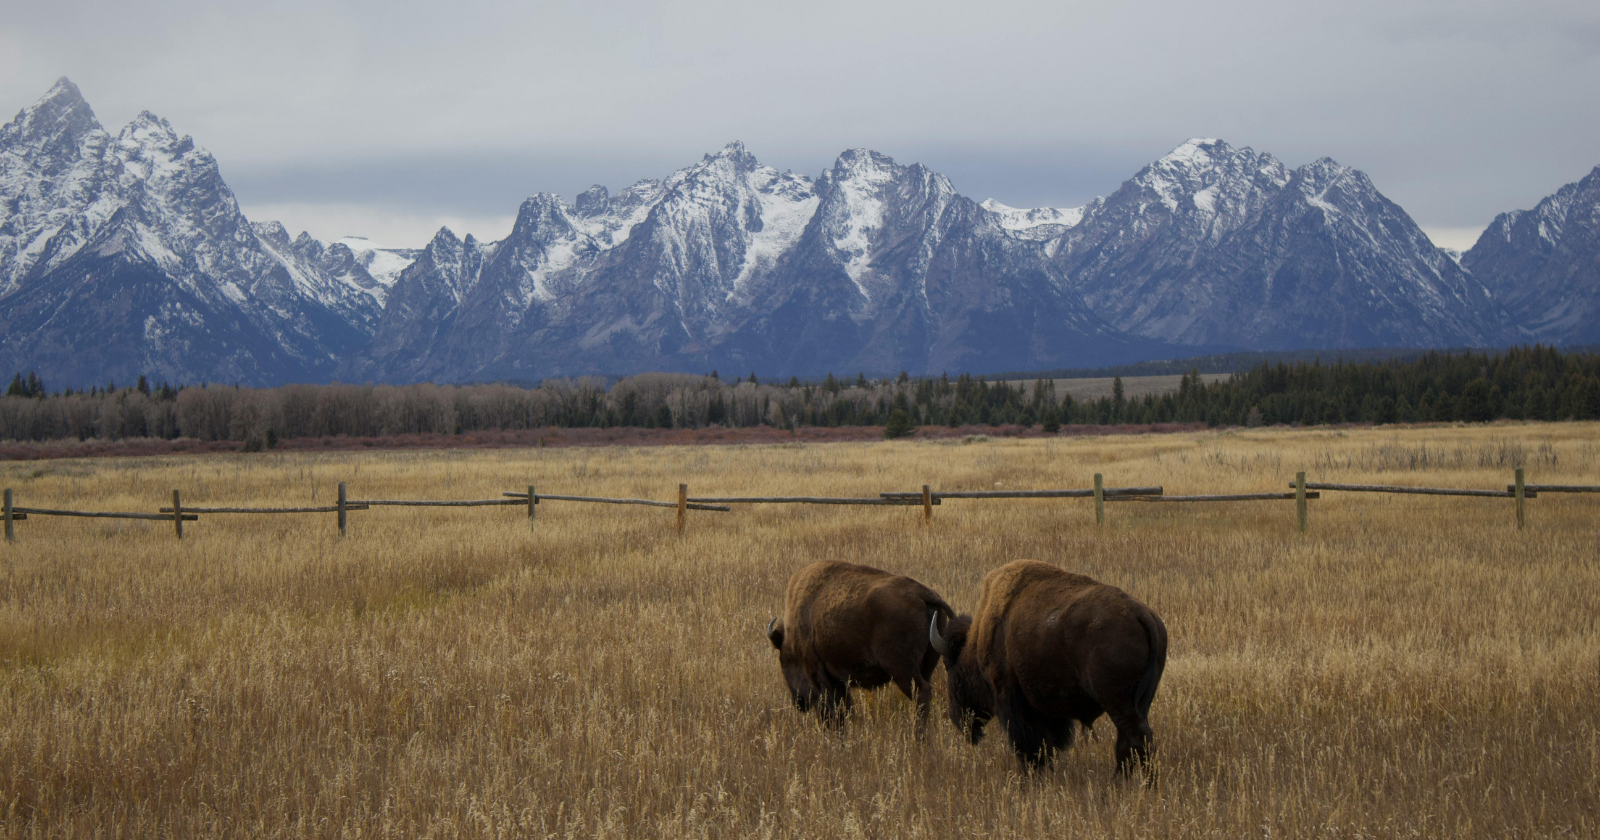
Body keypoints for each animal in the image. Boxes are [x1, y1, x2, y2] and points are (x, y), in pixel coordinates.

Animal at [767, 560, 954, 733]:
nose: (799, 703)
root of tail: (923, 594)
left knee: (922, 692)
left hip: (902, 669)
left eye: (785, 660)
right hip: (926, 665)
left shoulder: (819, 675)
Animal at [929, 559, 1167, 776]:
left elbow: (1028, 745)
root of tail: (1142, 614)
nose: (957, 718)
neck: (979, 640)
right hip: (1139, 703)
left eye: (950, 667)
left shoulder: (1011, 698)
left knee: (1137, 740)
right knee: (1128, 744)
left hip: (1119, 704)